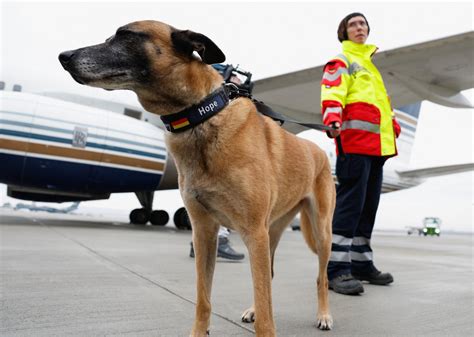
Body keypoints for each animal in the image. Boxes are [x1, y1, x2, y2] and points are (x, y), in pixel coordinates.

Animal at [58, 20, 334, 334]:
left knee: (320, 277)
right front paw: (200, 331)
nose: (64, 56)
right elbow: (205, 298)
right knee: (270, 276)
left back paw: (324, 315)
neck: (200, 116)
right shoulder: (205, 231)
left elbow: (267, 313)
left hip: (320, 233)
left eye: (125, 35)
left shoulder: (253, 232)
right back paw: (254, 309)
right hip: (272, 231)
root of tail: (320, 150)